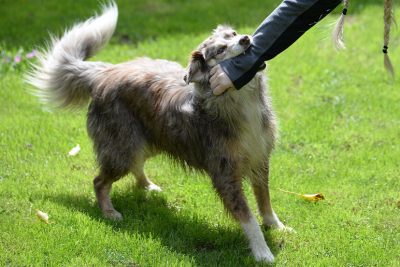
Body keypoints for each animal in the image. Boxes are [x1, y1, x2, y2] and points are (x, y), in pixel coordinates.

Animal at [27, 1, 290, 264]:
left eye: (233, 34)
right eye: (220, 50)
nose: (246, 39)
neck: (240, 99)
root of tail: (106, 72)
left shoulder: (260, 158)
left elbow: (264, 199)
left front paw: (276, 226)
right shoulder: (225, 174)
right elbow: (248, 218)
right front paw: (263, 252)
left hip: (148, 140)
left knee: (137, 164)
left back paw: (147, 186)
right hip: (122, 149)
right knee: (100, 181)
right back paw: (109, 211)